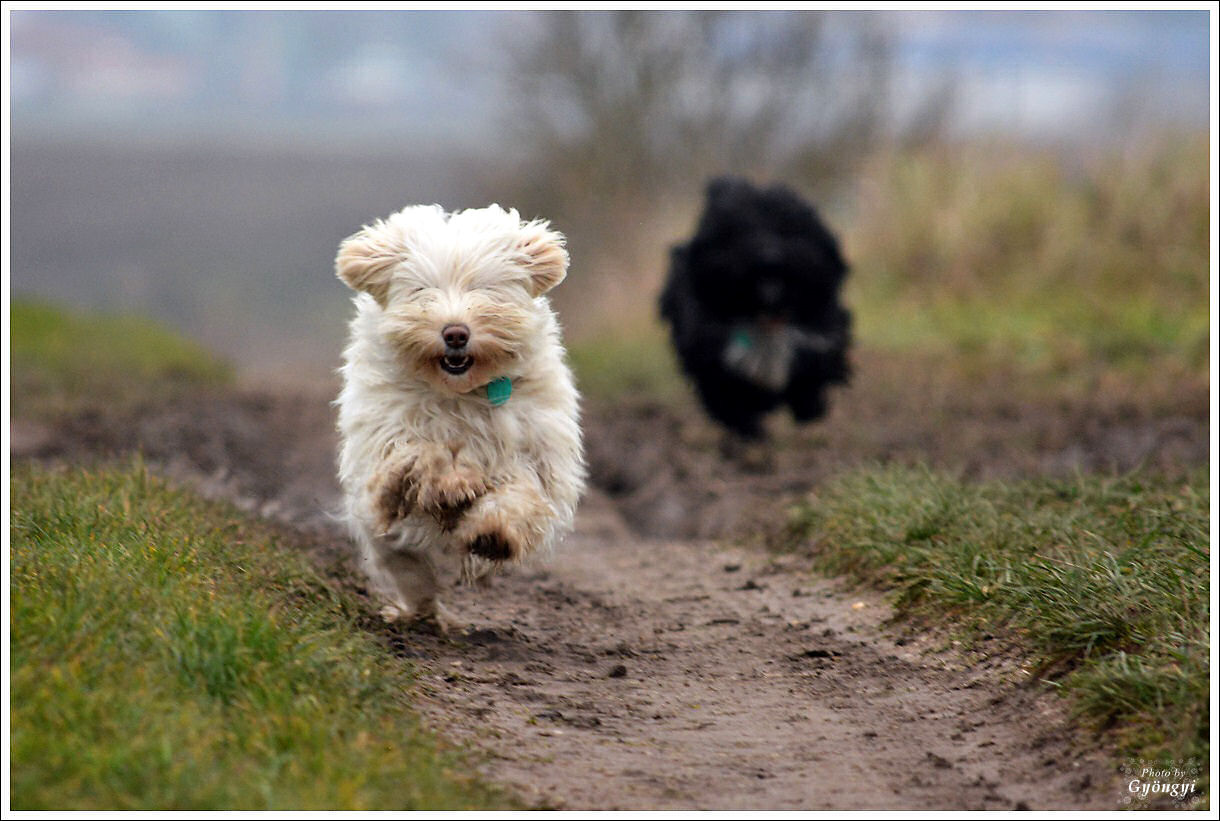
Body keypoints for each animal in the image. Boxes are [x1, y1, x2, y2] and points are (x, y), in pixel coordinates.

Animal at [331, 204, 583, 629]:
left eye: (486, 290)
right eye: (421, 291)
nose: (455, 334)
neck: (460, 393)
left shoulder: (534, 450)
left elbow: (520, 494)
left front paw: (493, 532)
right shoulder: (386, 437)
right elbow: (419, 454)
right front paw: (448, 483)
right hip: (386, 539)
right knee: (411, 571)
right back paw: (418, 612)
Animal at [658, 175, 849, 439]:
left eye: (787, 229)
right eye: (740, 231)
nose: (769, 257)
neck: (765, 317)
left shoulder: (821, 336)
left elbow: (813, 373)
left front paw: (808, 407)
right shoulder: (708, 349)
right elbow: (726, 395)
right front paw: (748, 425)